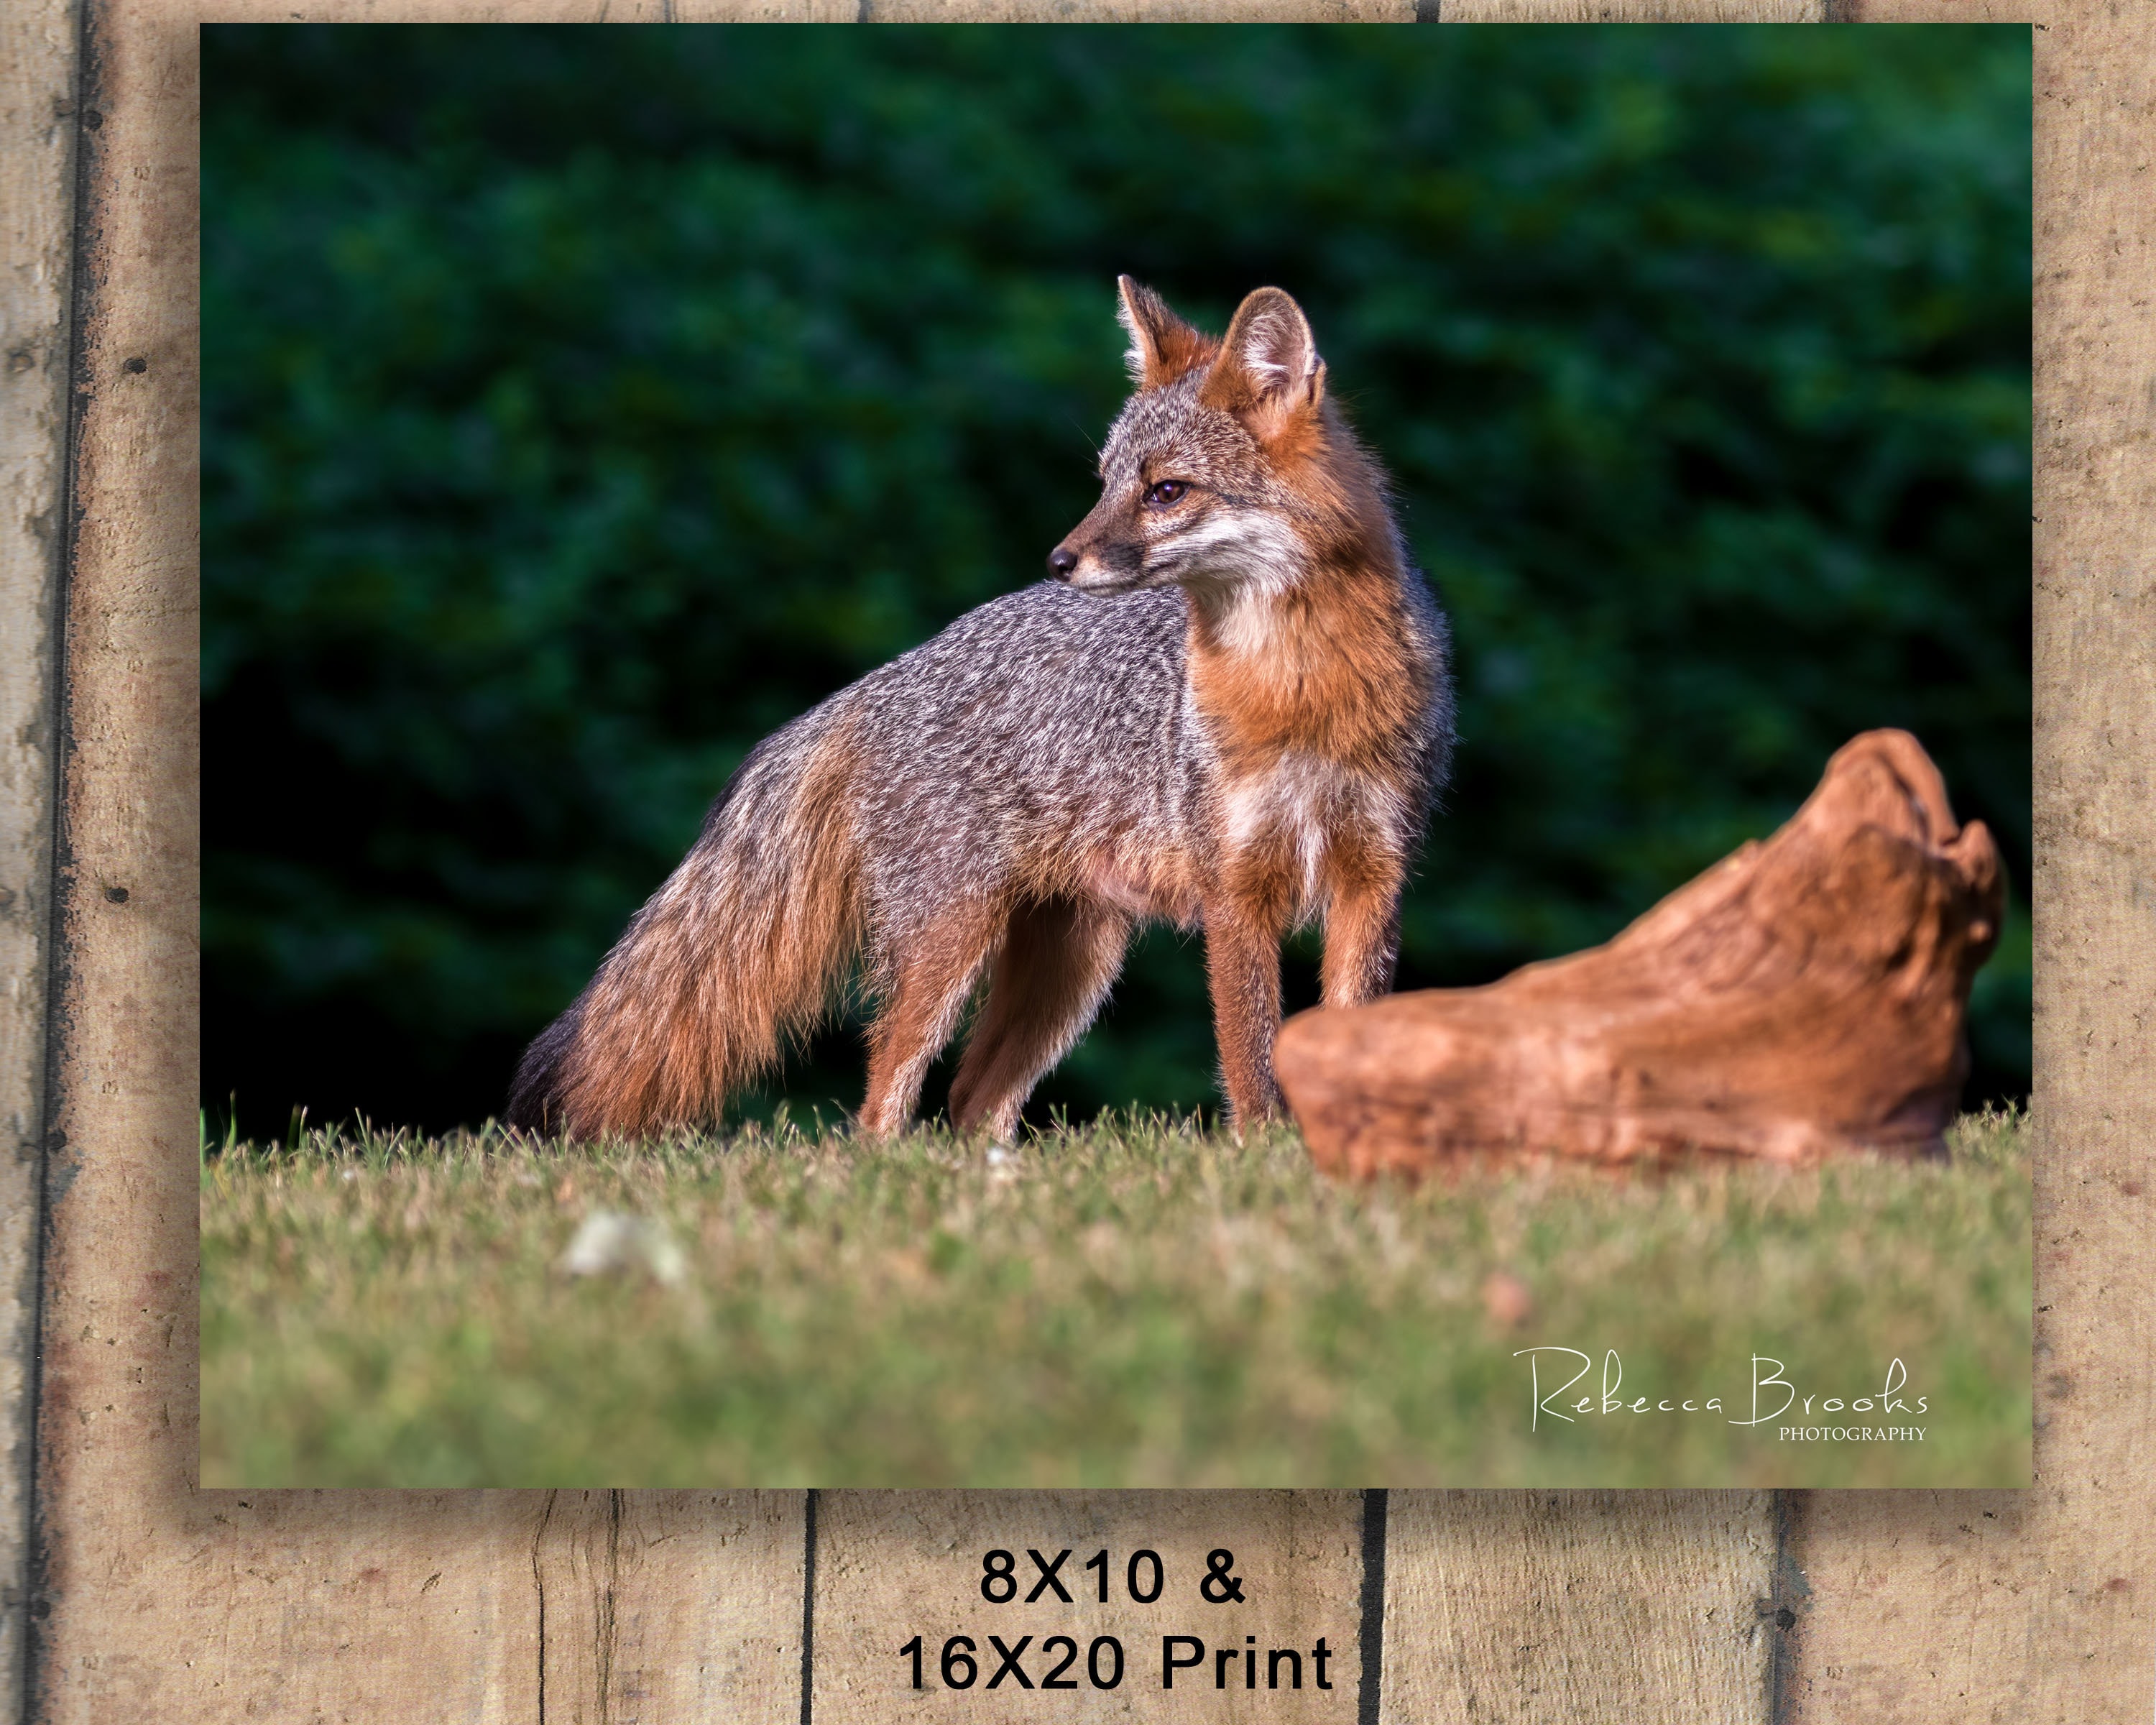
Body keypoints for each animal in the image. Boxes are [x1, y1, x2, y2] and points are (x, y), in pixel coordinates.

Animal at [508, 278, 1454, 1143]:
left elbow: (1351, 1034)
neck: (1302, 689)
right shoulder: (1236, 892)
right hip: (954, 947)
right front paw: (1270, 1158)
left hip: (1072, 967)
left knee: (972, 1102)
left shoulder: (1375, 876)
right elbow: (1251, 1057)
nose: (1058, 560)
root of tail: (886, 675)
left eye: (1167, 491)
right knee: (885, 1101)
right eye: (1106, 484)